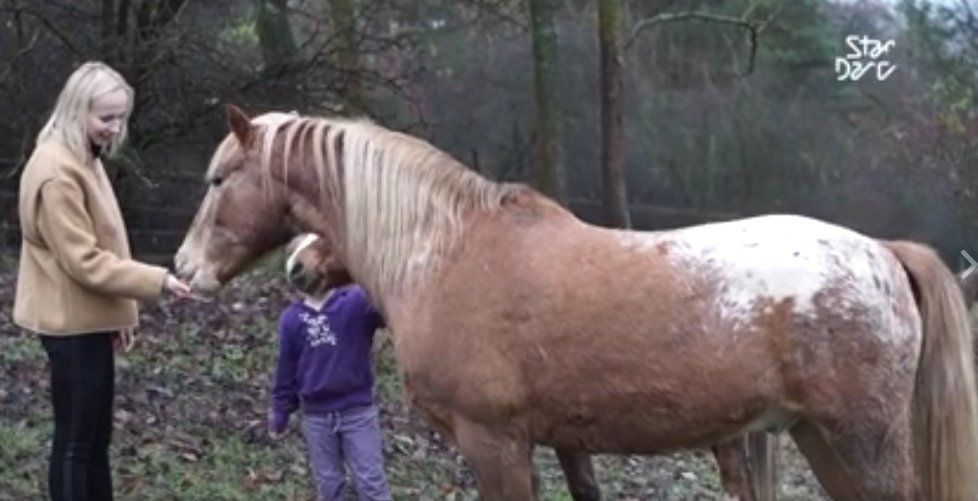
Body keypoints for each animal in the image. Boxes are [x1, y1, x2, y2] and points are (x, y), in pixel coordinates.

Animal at [175, 105, 976, 500]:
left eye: (216, 180)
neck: (448, 249)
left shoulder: (494, 443)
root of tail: (884, 253)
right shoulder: (564, 443)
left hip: (860, 440)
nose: (184, 268)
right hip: (817, 436)